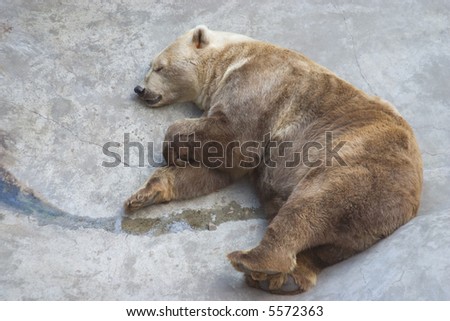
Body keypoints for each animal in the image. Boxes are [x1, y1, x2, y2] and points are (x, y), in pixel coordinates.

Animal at [125, 26, 424, 294]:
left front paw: (170, 149)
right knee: (326, 244)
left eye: (159, 67)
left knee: (314, 202)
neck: (227, 62)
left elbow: (233, 137)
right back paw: (281, 278)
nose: (139, 88)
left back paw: (252, 261)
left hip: (358, 161)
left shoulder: (260, 81)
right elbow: (216, 169)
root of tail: (411, 202)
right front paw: (144, 195)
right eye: (151, 66)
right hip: (365, 225)